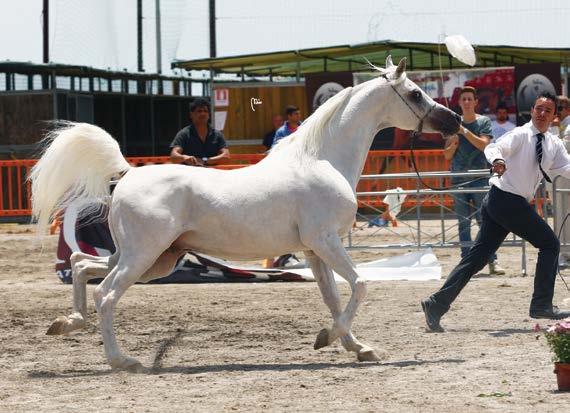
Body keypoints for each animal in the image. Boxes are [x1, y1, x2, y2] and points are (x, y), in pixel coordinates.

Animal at [31, 57, 460, 370]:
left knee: (81, 264)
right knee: (104, 293)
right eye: (415, 93)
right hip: (143, 257)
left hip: (154, 259)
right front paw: (328, 338)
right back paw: (124, 361)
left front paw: (357, 347)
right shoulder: (325, 241)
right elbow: (359, 285)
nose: (454, 121)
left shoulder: (313, 251)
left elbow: (334, 297)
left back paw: (66, 324)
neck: (321, 159)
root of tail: (128, 173)